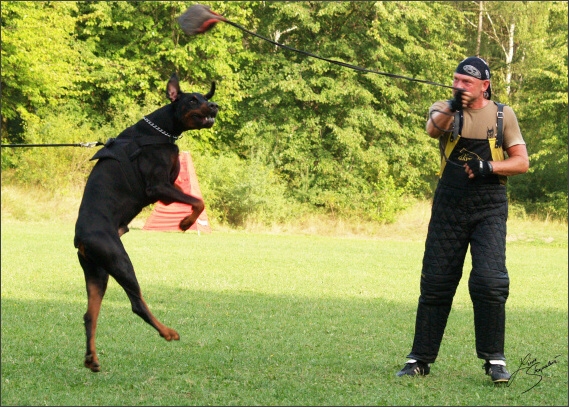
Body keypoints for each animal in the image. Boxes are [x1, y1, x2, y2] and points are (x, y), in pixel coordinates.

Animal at [75, 73, 217, 372]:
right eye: (192, 100)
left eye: (205, 97)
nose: (215, 106)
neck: (161, 130)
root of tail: (80, 239)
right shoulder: (157, 186)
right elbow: (198, 201)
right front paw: (185, 223)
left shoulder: (168, 186)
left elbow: (194, 198)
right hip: (119, 259)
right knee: (137, 304)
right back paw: (167, 332)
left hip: (97, 272)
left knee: (90, 315)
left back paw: (92, 359)